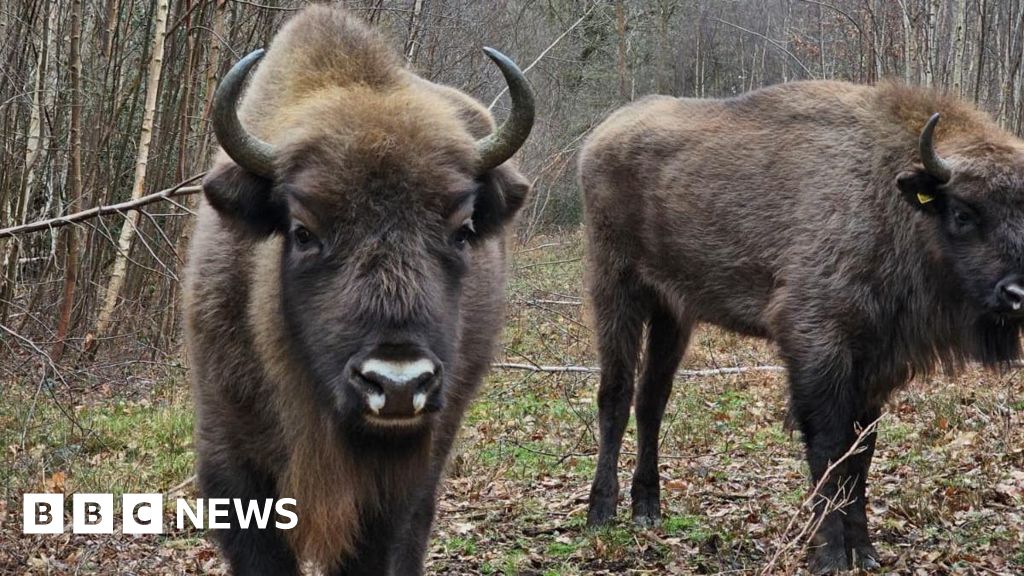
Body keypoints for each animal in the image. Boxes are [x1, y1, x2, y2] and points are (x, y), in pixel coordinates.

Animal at [580, 81, 1023, 573]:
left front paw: (864, 551)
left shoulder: (873, 364)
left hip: (672, 313)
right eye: (962, 213)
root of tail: (600, 137)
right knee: (616, 395)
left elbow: (859, 456)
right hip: (616, 288)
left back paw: (647, 508)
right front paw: (829, 555)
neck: (887, 193)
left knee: (652, 401)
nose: (1017, 293)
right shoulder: (817, 344)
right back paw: (601, 512)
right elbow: (828, 449)